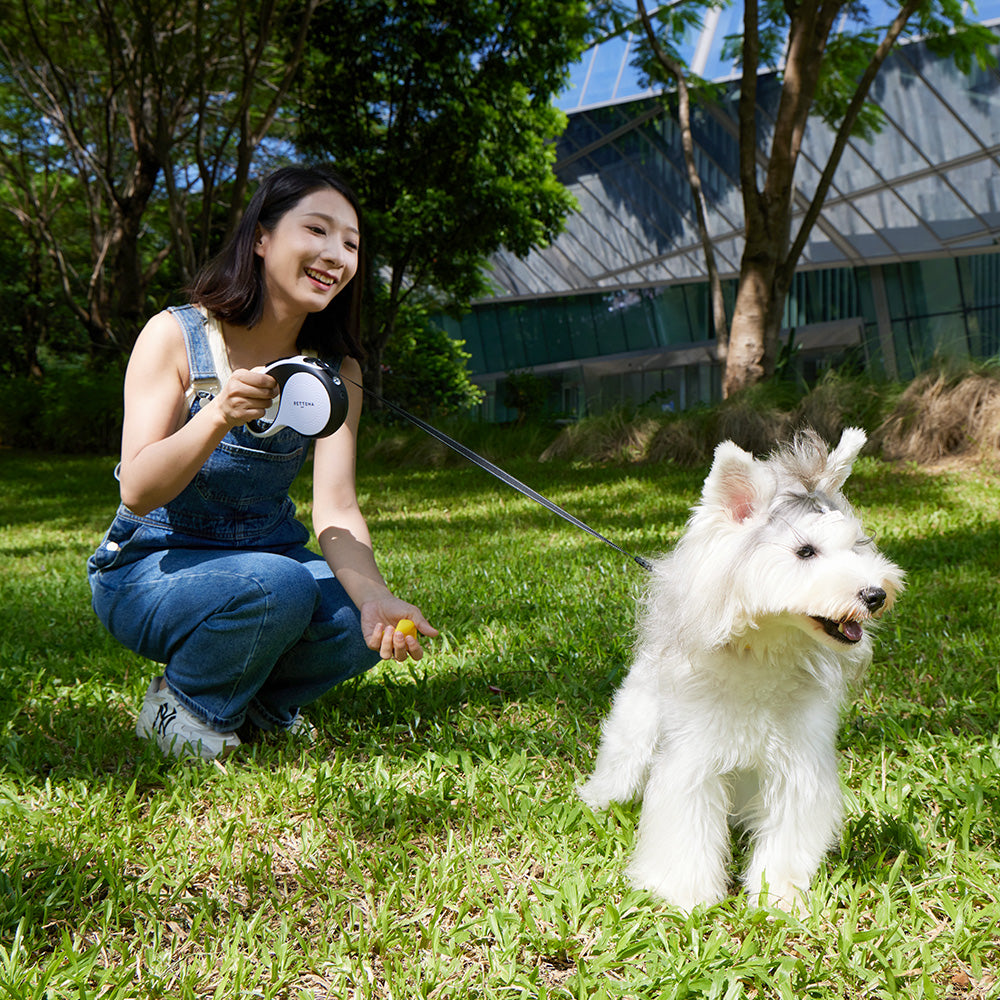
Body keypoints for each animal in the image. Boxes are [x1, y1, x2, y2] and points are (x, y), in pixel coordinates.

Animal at [576, 426, 904, 912]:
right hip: (635, 726)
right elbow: (686, 831)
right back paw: (597, 800)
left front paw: (779, 896)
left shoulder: (797, 766)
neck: (763, 651)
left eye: (856, 547)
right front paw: (683, 893)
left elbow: (787, 840)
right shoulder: (694, 760)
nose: (875, 594)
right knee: (620, 767)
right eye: (805, 551)